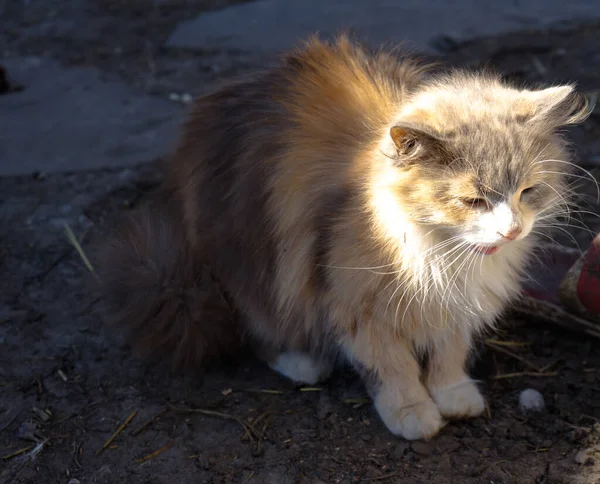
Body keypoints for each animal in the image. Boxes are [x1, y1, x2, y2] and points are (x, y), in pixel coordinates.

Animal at [96, 36, 588, 440]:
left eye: (528, 191)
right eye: (473, 200)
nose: (513, 228)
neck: (438, 253)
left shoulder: (455, 306)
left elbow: (449, 353)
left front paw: (453, 395)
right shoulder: (358, 308)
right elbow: (394, 368)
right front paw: (413, 413)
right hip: (251, 269)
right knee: (257, 328)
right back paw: (303, 363)